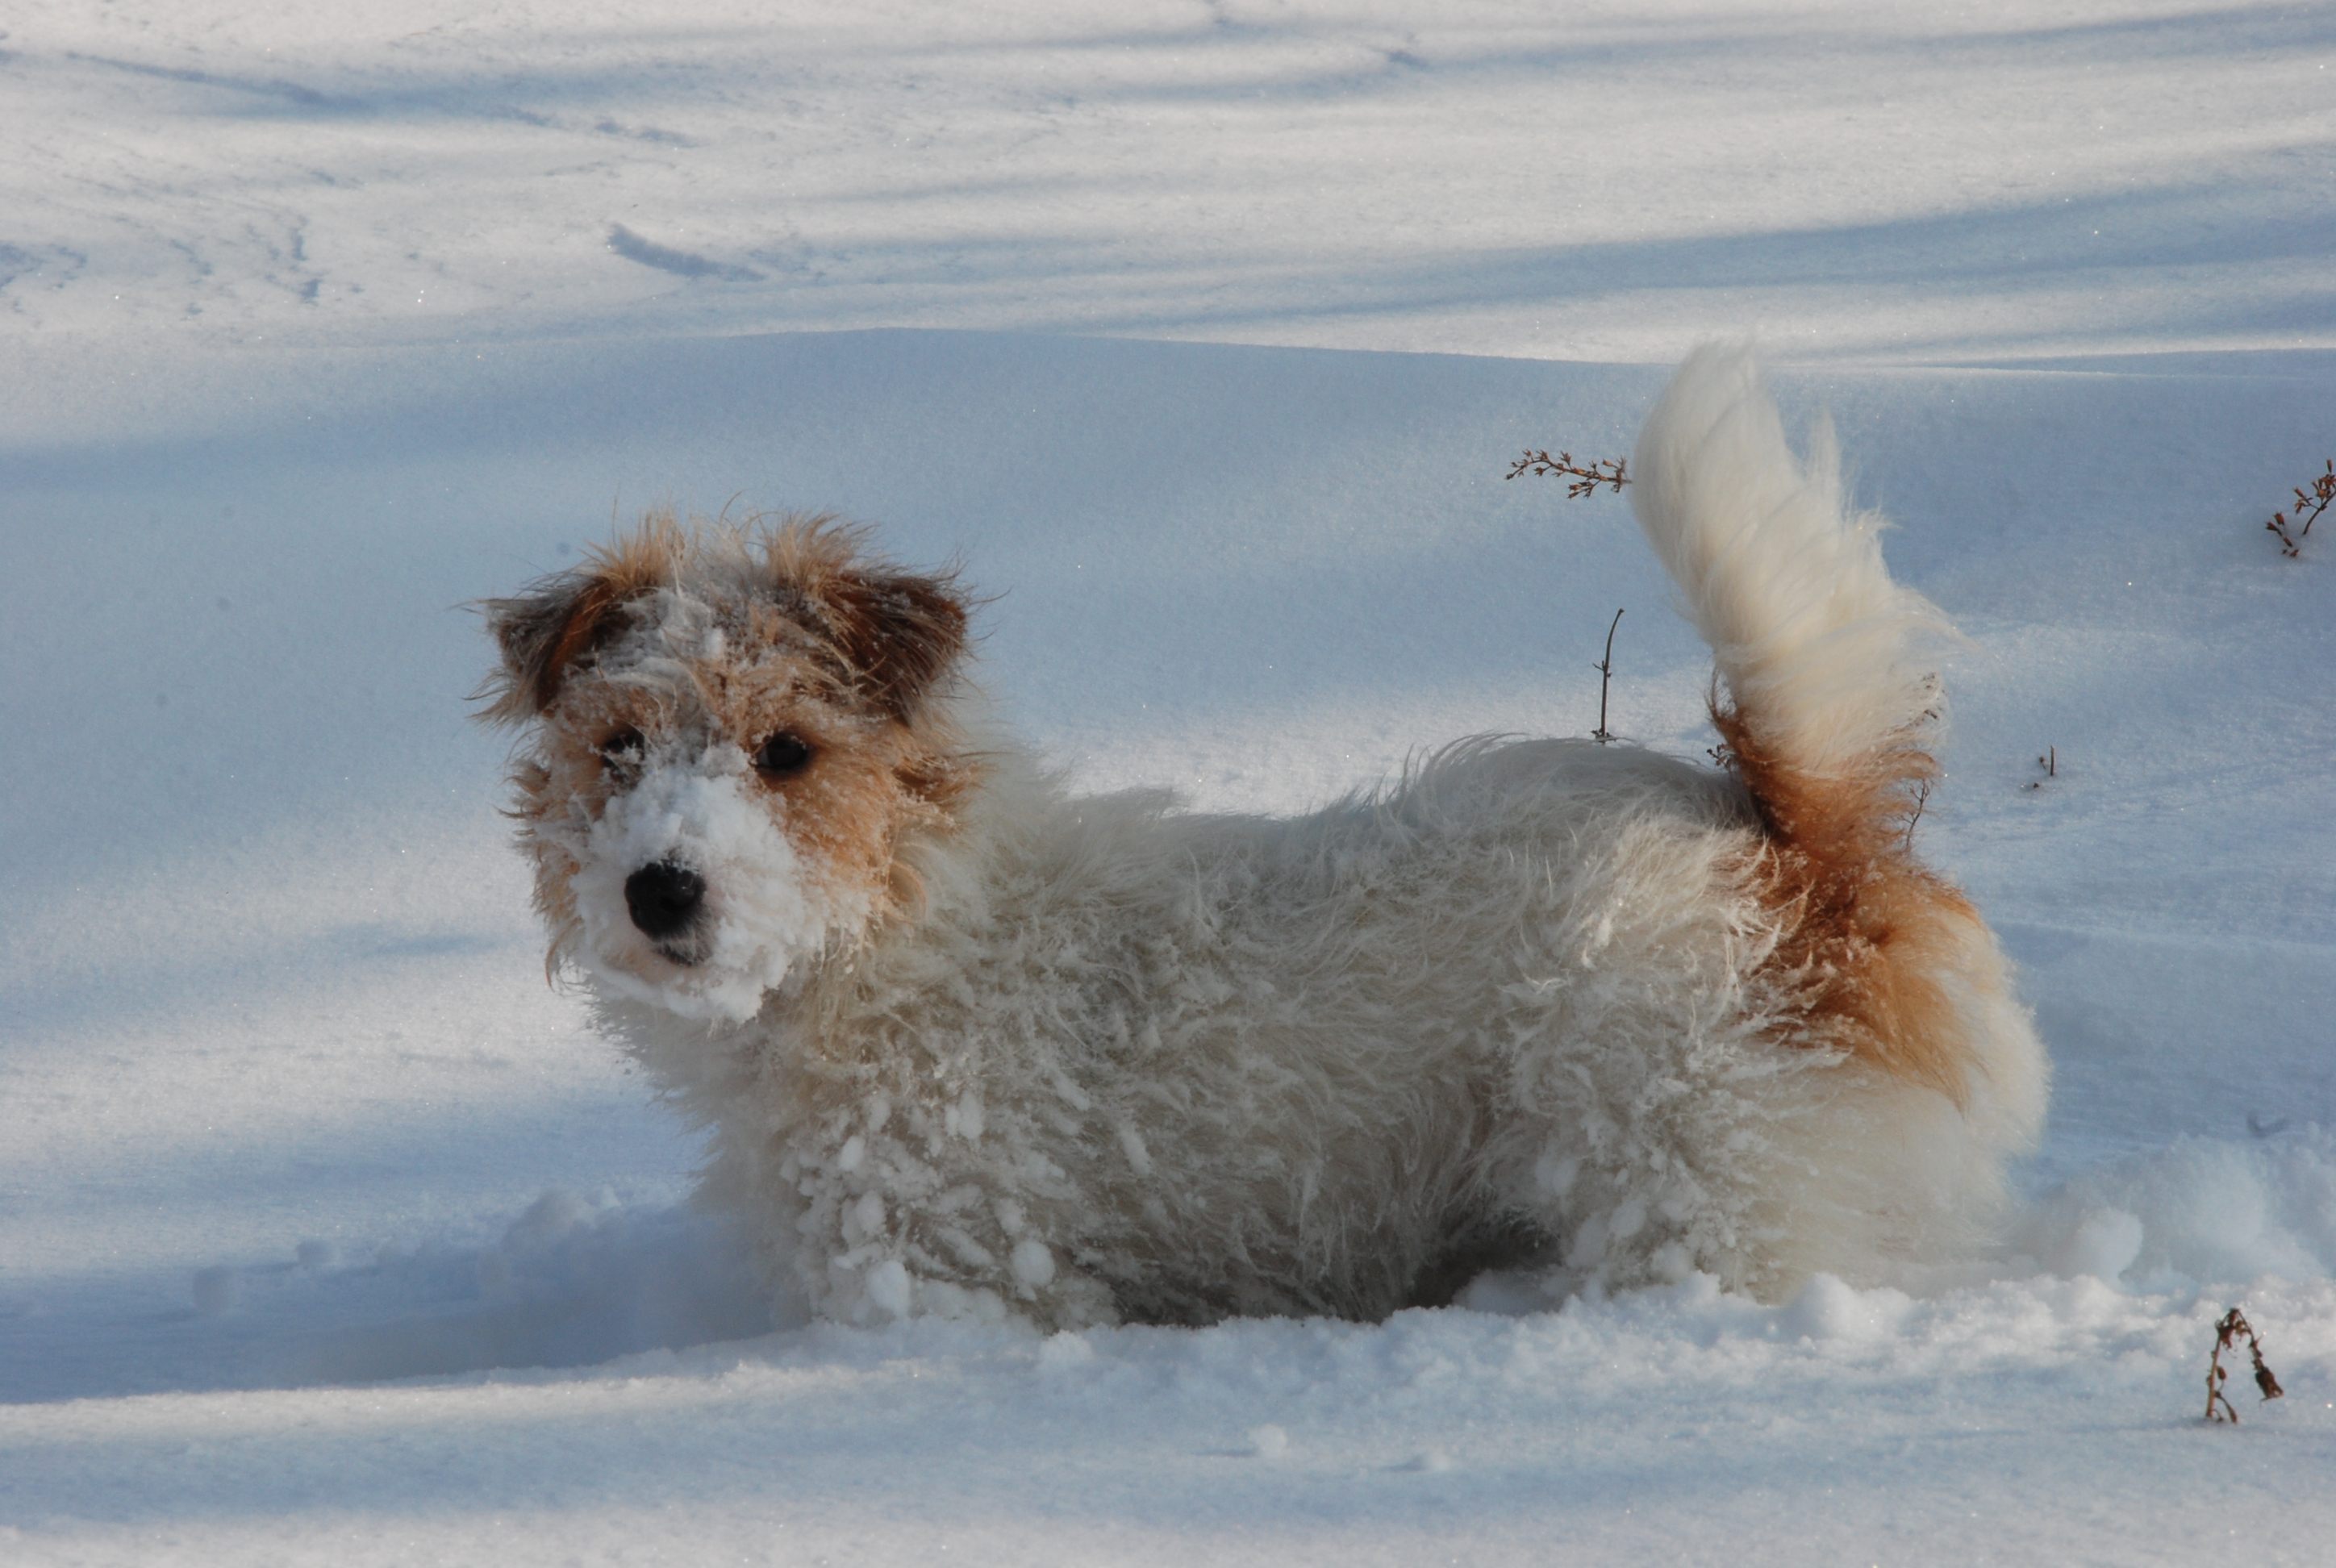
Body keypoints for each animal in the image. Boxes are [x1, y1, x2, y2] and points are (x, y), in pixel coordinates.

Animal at [480, 346, 2046, 1329]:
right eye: (617, 747)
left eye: (788, 752)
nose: (661, 887)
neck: (898, 931)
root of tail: (1788, 842)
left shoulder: (962, 1289)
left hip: (1693, 1208)